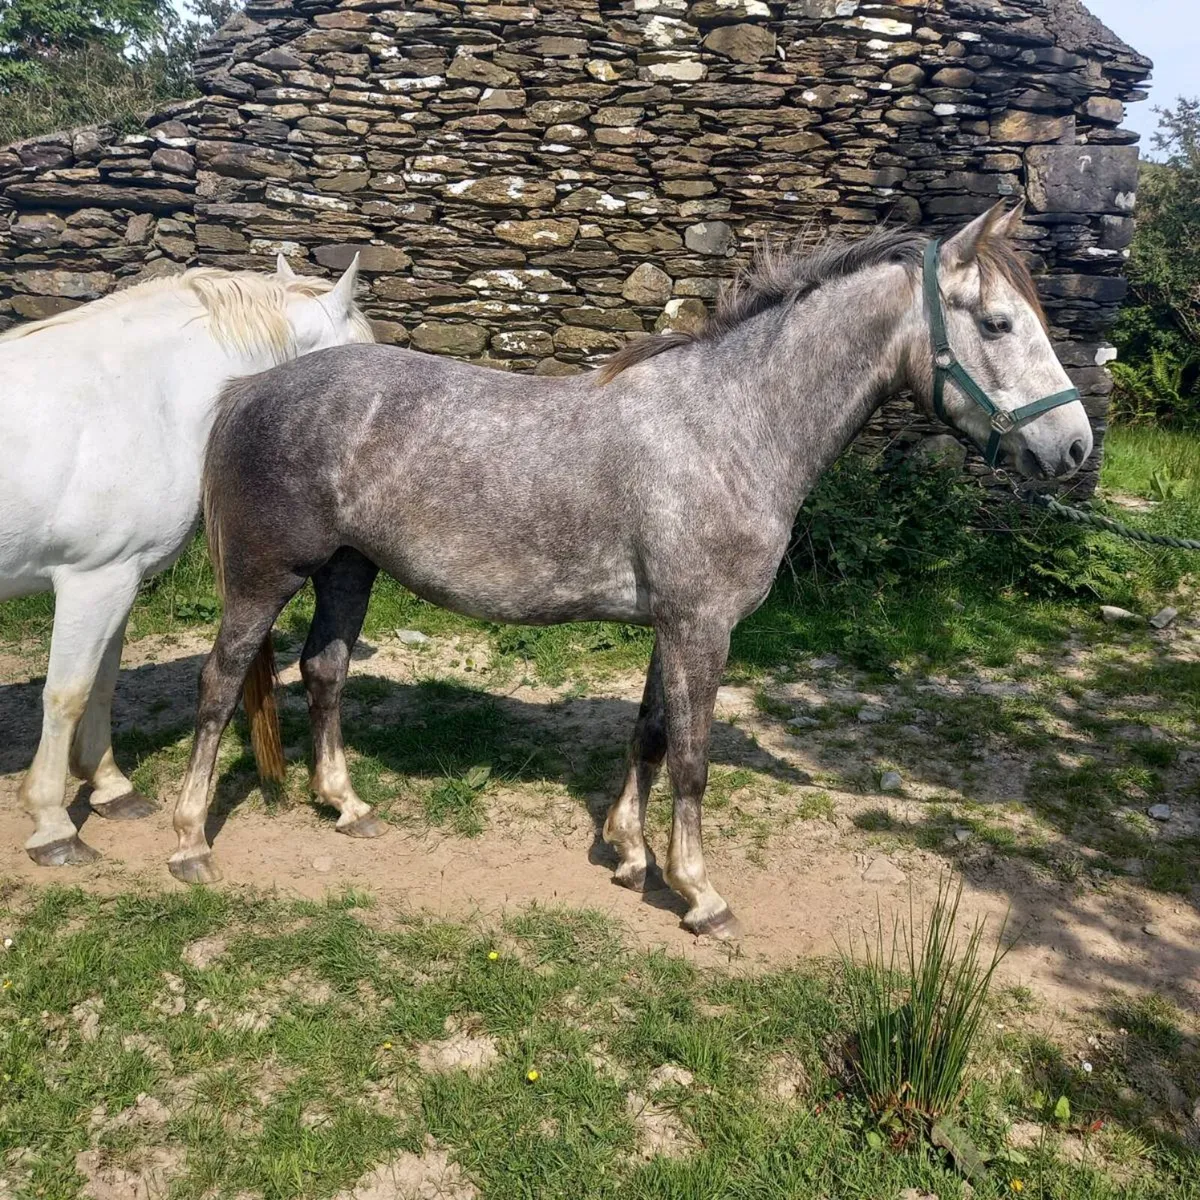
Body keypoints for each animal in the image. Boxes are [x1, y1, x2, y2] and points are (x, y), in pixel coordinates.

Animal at [0, 255, 374, 868]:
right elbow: (66, 694)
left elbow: (102, 684)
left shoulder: (120, 578)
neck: (136, 397)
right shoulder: (90, 580)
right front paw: (53, 825)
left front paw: (110, 788)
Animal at [174, 201, 1092, 938]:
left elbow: (650, 732)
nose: (1075, 447)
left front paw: (626, 852)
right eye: (1000, 324)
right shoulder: (701, 626)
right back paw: (188, 843)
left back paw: (346, 805)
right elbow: (692, 756)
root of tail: (249, 388)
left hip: (348, 571)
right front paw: (698, 894)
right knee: (219, 685)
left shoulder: (673, 624)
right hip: (264, 579)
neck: (731, 423)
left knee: (324, 671)